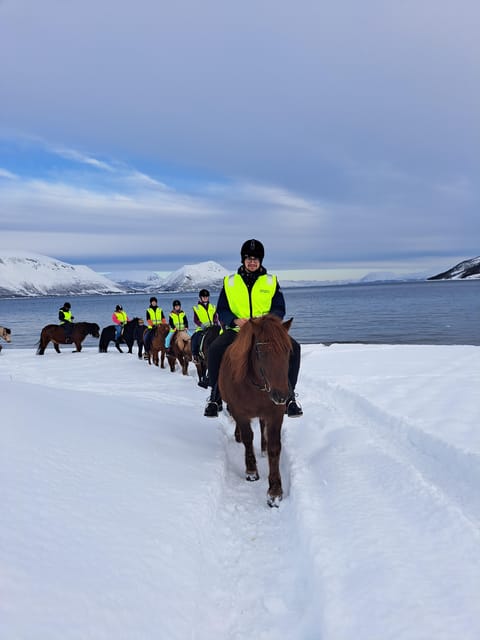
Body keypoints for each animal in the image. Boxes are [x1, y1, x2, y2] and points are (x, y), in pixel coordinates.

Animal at [218, 312, 292, 508]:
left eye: (288, 351)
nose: (281, 395)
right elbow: (247, 438)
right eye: (260, 352)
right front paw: (251, 472)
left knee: (262, 424)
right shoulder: (240, 413)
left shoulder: (275, 414)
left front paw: (275, 492)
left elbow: (275, 447)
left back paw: (263, 447)